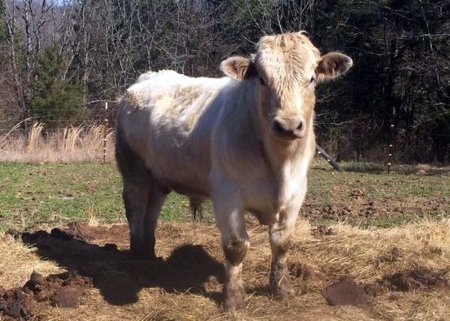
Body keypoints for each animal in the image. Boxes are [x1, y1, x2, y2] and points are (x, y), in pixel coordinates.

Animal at [115, 31, 352, 308]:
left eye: (312, 78)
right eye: (262, 79)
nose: (288, 125)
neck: (279, 165)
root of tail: (150, 76)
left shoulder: (296, 193)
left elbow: (282, 243)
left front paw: (281, 289)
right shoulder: (227, 194)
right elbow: (236, 246)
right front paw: (234, 298)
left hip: (159, 173)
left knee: (153, 206)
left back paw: (149, 251)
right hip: (133, 165)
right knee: (135, 203)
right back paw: (136, 253)